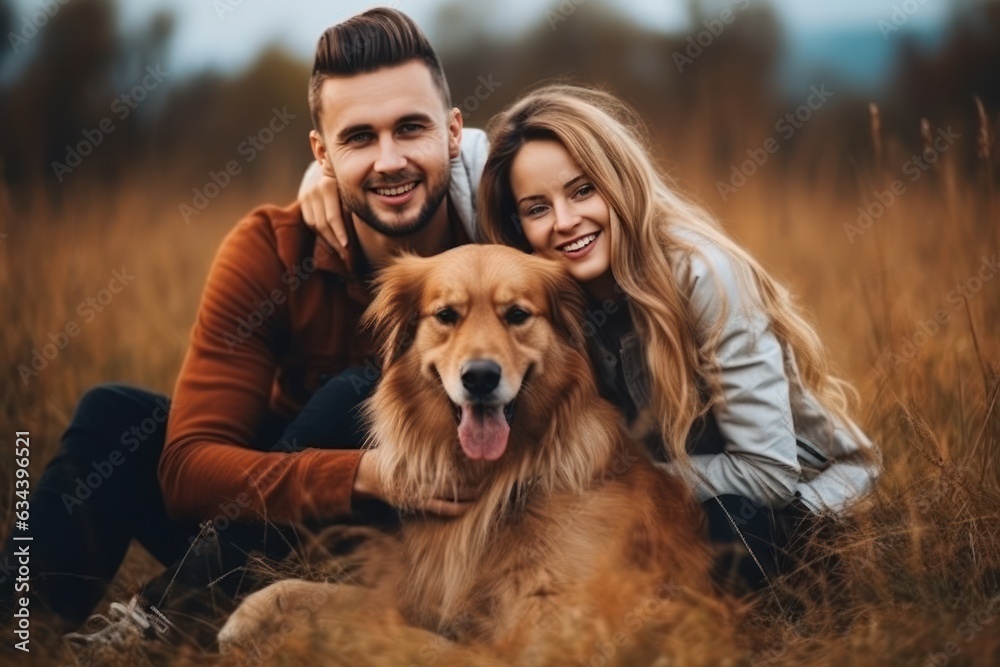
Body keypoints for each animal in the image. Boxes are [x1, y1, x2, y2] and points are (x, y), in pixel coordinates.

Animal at [223, 248, 716, 664]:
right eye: (447, 315)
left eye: (517, 314)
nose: (480, 376)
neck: (501, 480)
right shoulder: (423, 589)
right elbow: (310, 591)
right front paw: (251, 615)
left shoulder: (555, 632)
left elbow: (396, 635)